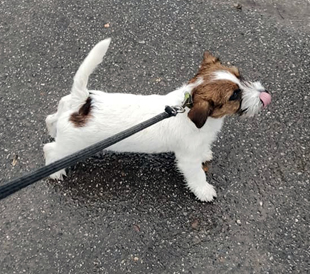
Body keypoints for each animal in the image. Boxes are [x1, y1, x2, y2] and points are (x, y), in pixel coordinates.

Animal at [44, 38, 272, 201]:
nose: (265, 95)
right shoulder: (187, 159)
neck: (188, 108)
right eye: (234, 95)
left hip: (65, 112)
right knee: (51, 150)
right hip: (72, 147)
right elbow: (197, 175)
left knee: (51, 118)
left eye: (239, 75)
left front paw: (205, 154)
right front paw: (204, 190)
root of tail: (83, 102)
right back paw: (55, 171)